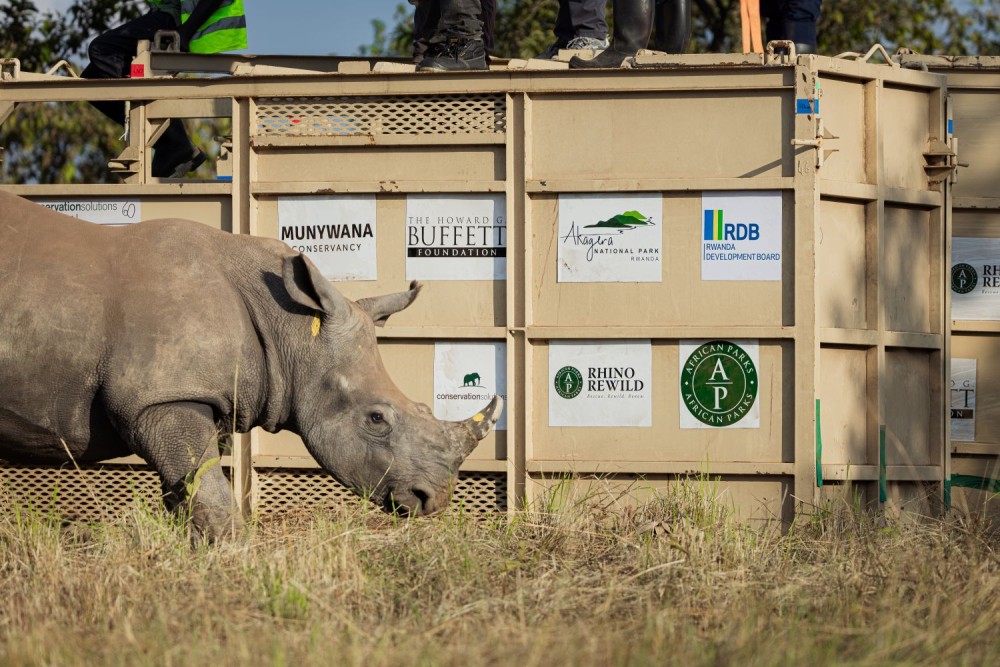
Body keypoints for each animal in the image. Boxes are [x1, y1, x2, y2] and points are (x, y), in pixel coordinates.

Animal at [0, 191, 502, 539]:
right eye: (376, 418)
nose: (434, 500)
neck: (292, 328)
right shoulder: (162, 398)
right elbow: (212, 496)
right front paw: (231, 562)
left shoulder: (190, 396)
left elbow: (190, 494)